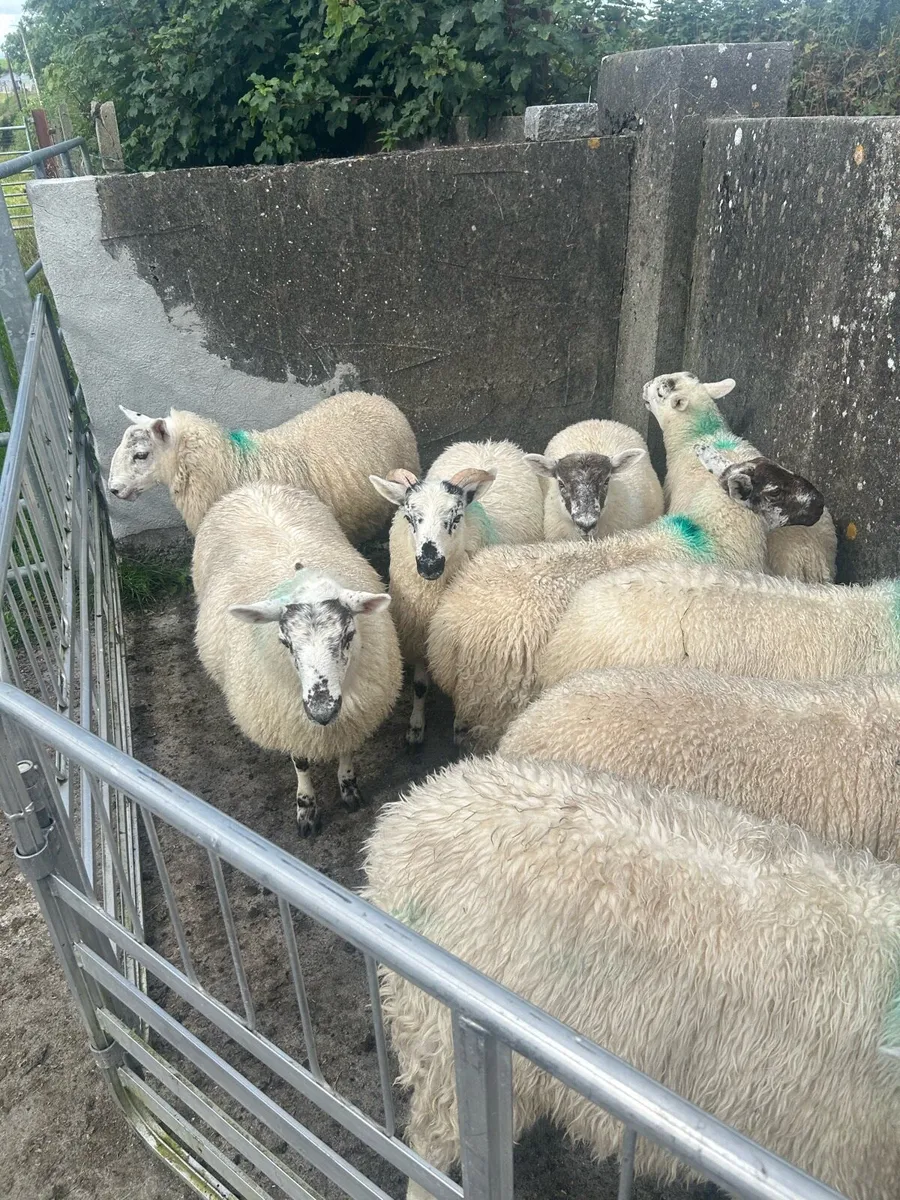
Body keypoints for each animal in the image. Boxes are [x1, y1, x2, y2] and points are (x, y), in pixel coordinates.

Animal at [193, 482, 401, 834]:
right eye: (285, 642)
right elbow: (301, 763)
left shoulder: (353, 714)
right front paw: (306, 808)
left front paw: (349, 790)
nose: (321, 711)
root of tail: (253, 487)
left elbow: (347, 750)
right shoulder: (288, 719)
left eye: (349, 635)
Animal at [369, 439, 543, 746]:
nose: (429, 564)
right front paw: (415, 728)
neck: (433, 596)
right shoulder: (418, 633)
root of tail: (488, 443)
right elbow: (419, 685)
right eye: (409, 517)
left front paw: (460, 728)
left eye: (456, 517)